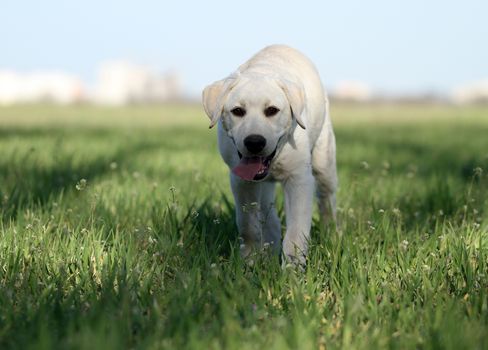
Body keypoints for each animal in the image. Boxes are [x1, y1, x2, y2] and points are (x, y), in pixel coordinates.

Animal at [204, 45, 338, 266]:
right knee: (269, 218)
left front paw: (292, 269)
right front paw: (249, 261)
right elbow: (247, 223)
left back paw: (333, 233)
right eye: (237, 111)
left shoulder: (299, 179)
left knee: (327, 199)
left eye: (272, 110)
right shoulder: (241, 181)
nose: (254, 142)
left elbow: (296, 232)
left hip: (324, 162)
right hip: (264, 187)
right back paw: (269, 250)